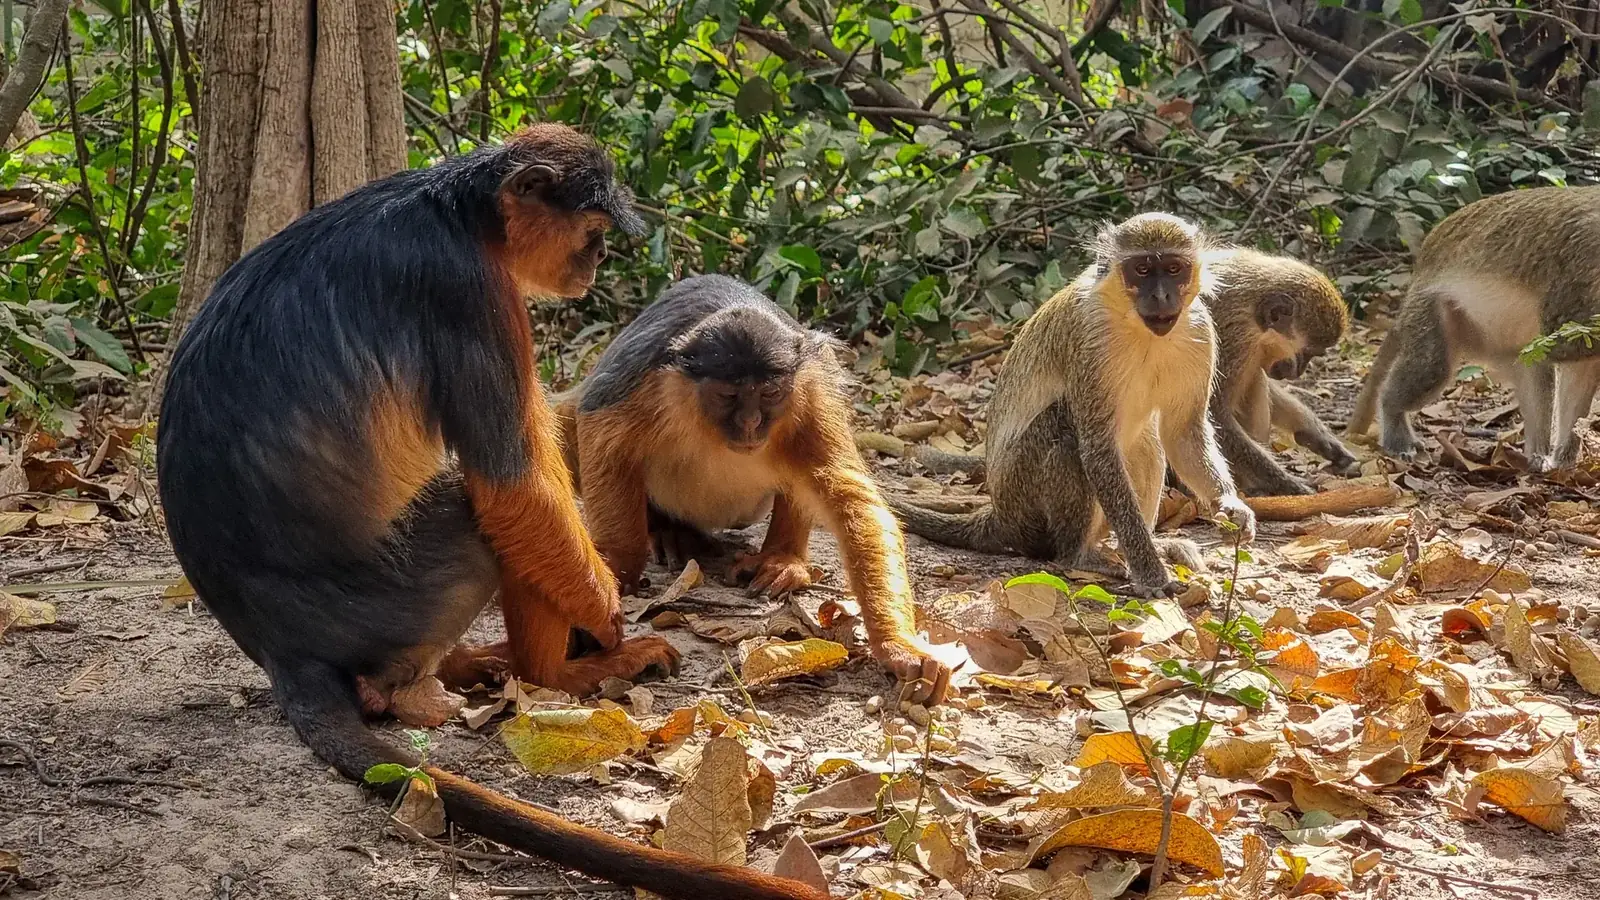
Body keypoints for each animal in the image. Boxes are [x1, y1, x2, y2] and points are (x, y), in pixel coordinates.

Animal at [157, 124, 824, 900]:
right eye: (592, 233)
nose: (596, 261)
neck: (456, 212)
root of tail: (276, 646)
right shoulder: (465, 288)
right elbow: (514, 488)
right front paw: (603, 622)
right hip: (389, 592)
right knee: (479, 516)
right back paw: (548, 675)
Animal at [558, 274, 953, 705]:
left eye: (768, 394)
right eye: (728, 396)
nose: (750, 423)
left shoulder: (810, 392)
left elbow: (851, 496)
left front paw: (900, 647)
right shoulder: (644, 377)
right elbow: (600, 429)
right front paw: (614, 575)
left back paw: (780, 558)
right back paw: (668, 531)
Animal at [885, 213, 1256, 597]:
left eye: (1172, 268)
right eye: (1141, 270)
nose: (1161, 296)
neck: (1137, 327)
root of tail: (1000, 514)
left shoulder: (1200, 330)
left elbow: (1184, 431)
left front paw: (1231, 506)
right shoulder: (1089, 340)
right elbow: (1096, 446)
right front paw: (1150, 573)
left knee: (1149, 442)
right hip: (1024, 505)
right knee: (1064, 432)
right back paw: (1079, 556)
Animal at [1201, 247, 1358, 495]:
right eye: (1308, 353)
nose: (1298, 372)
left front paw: (1318, 436)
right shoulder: (1229, 340)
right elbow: (1214, 416)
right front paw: (1290, 484)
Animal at [1347, 186, 1600, 472]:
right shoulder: (1581, 266)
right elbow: (1557, 333)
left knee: (1543, 366)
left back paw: (1550, 460)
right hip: (1431, 309)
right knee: (1431, 367)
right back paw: (1393, 417)